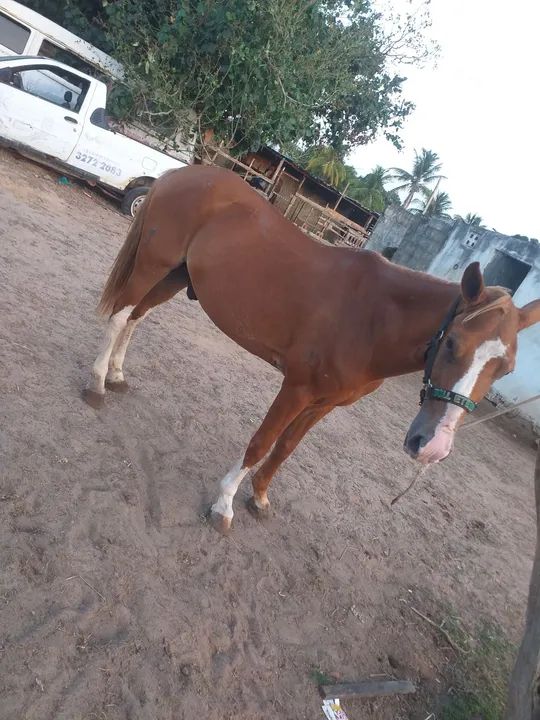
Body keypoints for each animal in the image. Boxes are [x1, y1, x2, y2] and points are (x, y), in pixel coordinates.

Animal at [84, 165, 540, 533]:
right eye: (453, 343)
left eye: (505, 368)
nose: (432, 447)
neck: (374, 318)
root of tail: (180, 172)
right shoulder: (296, 389)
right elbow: (261, 442)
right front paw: (224, 505)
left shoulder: (326, 402)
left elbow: (286, 448)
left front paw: (259, 497)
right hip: (153, 265)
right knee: (121, 317)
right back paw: (97, 384)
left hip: (176, 275)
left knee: (136, 318)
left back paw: (118, 375)